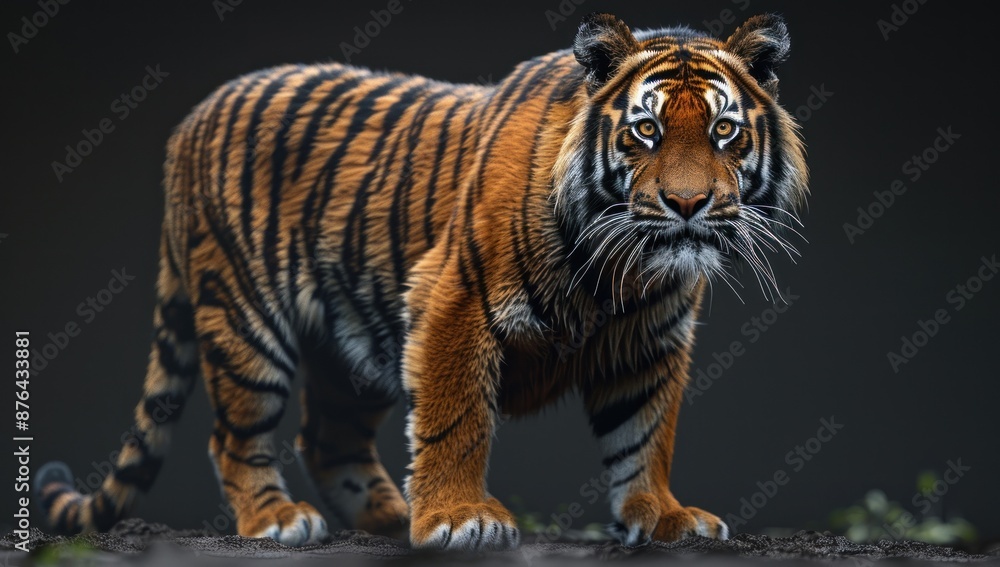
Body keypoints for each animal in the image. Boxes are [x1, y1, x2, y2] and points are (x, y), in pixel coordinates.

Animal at [37, 12, 807, 550]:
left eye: (724, 131)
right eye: (645, 131)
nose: (688, 203)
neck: (622, 270)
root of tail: (191, 120)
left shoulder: (650, 339)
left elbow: (645, 434)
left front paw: (666, 516)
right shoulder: (454, 299)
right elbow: (457, 419)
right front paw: (460, 519)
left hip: (351, 342)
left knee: (329, 437)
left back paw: (387, 513)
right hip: (244, 321)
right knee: (235, 436)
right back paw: (278, 518)